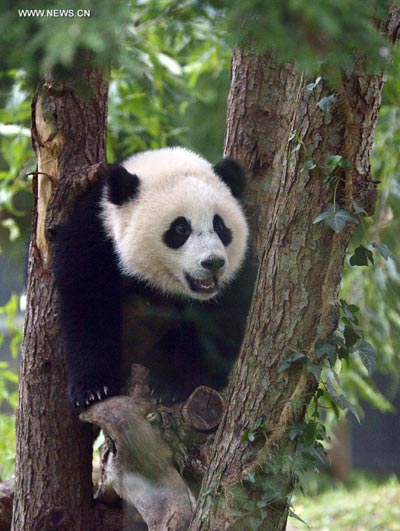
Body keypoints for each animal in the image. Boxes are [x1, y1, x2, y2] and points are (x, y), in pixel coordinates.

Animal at [53, 148, 255, 410]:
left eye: (220, 226)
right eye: (181, 228)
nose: (213, 263)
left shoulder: (236, 276)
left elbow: (218, 324)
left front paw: (174, 385)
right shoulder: (95, 237)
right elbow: (88, 308)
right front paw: (94, 389)